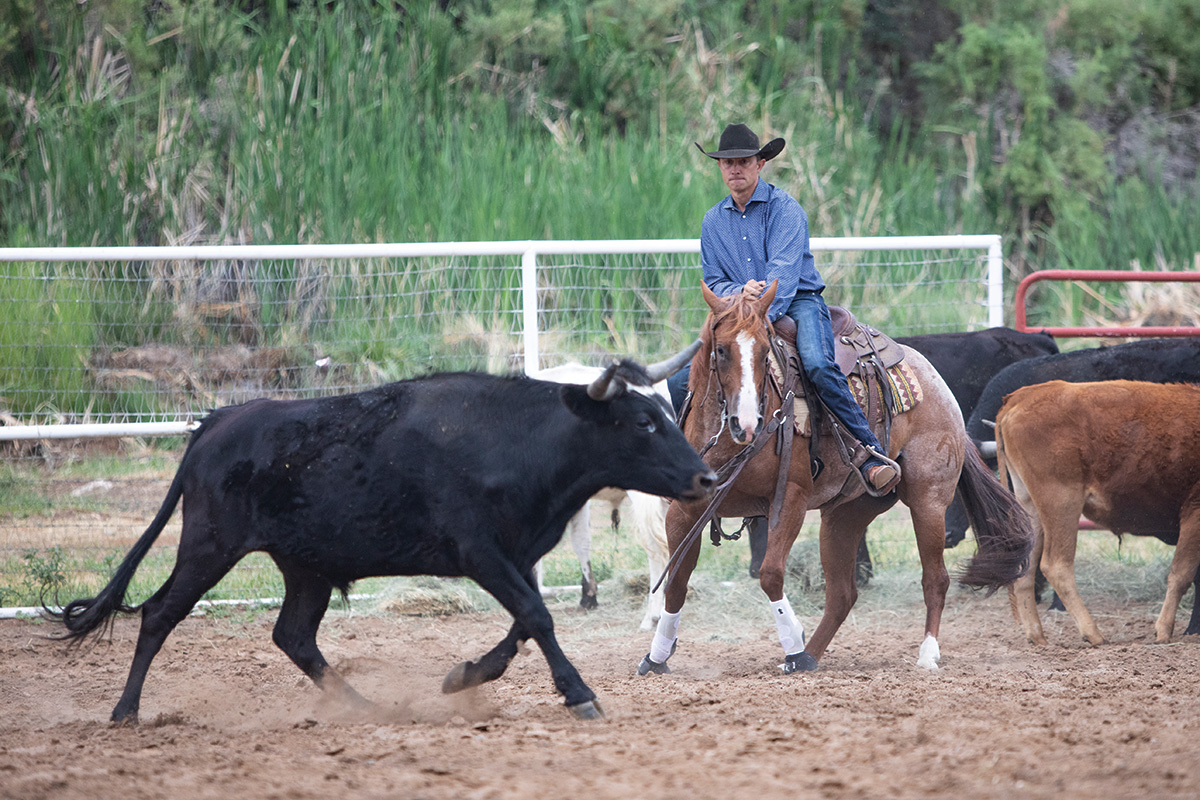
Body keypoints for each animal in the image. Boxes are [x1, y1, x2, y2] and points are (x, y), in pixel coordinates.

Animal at [54, 347, 710, 724]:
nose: (705, 475)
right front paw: (578, 693)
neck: (517, 438)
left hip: (306, 567)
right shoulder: (482, 553)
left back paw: (366, 706)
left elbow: (526, 623)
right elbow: (537, 617)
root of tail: (216, 423)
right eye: (642, 422)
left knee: (293, 636)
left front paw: (463, 676)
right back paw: (125, 711)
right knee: (159, 614)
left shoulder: (517, 555)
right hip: (209, 546)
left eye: (667, 414)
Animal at [643, 283, 1036, 676]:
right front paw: (657, 656)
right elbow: (676, 581)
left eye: (765, 351)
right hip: (843, 515)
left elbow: (770, 574)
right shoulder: (684, 511)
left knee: (935, 578)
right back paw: (809, 656)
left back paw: (926, 654)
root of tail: (936, 382)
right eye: (721, 349)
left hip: (929, 500)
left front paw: (793, 641)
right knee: (842, 595)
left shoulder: (790, 499)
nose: (747, 423)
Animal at [955, 338, 1200, 638]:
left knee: (1028, 566)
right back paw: (1093, 633)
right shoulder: (1194, 511)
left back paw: (1037, 635)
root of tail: (1020, 397)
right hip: (1062, 503)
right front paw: (1166, 630)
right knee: (1056, 565)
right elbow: (1182, 574)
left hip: (1030, 505)